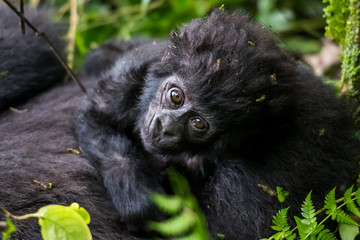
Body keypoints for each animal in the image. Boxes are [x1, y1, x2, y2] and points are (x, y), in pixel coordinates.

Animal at [0, 4, 358, 239]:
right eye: (175, 96)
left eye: (199, 124)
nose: (165, 127)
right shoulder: (135, 71)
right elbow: (95, 113)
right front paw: (138, 199)